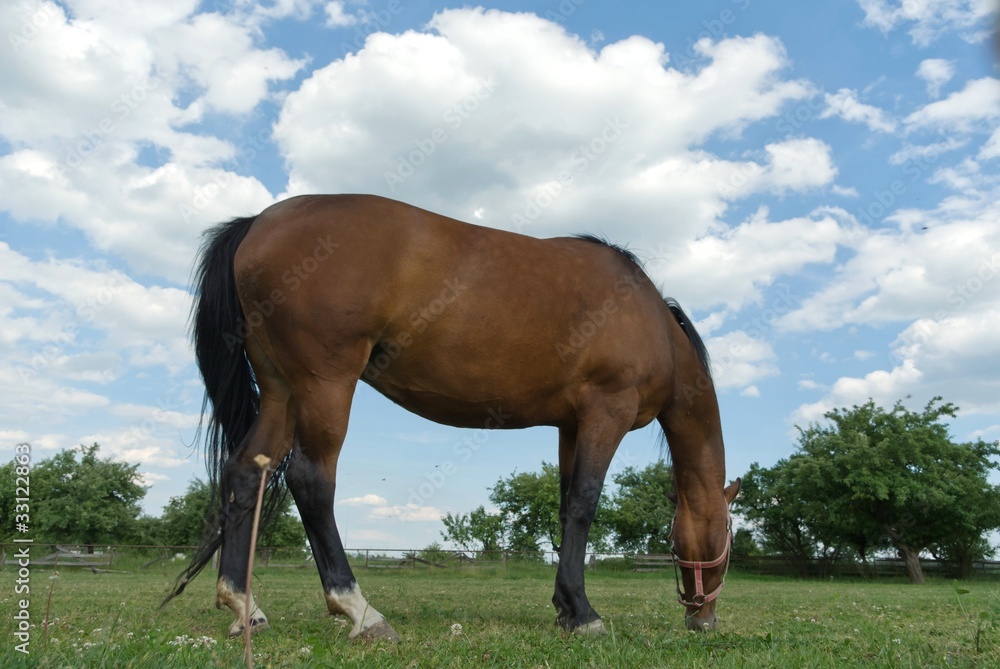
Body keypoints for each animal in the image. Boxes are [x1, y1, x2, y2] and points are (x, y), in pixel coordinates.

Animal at [168, 193, 740, 639]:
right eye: (724, 539)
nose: (704, 620)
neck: (652, 323)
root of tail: (258, 222)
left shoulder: (571, 426)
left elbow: (564, 509)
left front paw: (564, 607)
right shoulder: (606, 411)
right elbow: (583, 505)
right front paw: (583, 615)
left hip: (282, 391)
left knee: (246, 474)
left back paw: (245, 607)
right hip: (324, 386)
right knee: (312, 481)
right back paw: (360, 611)